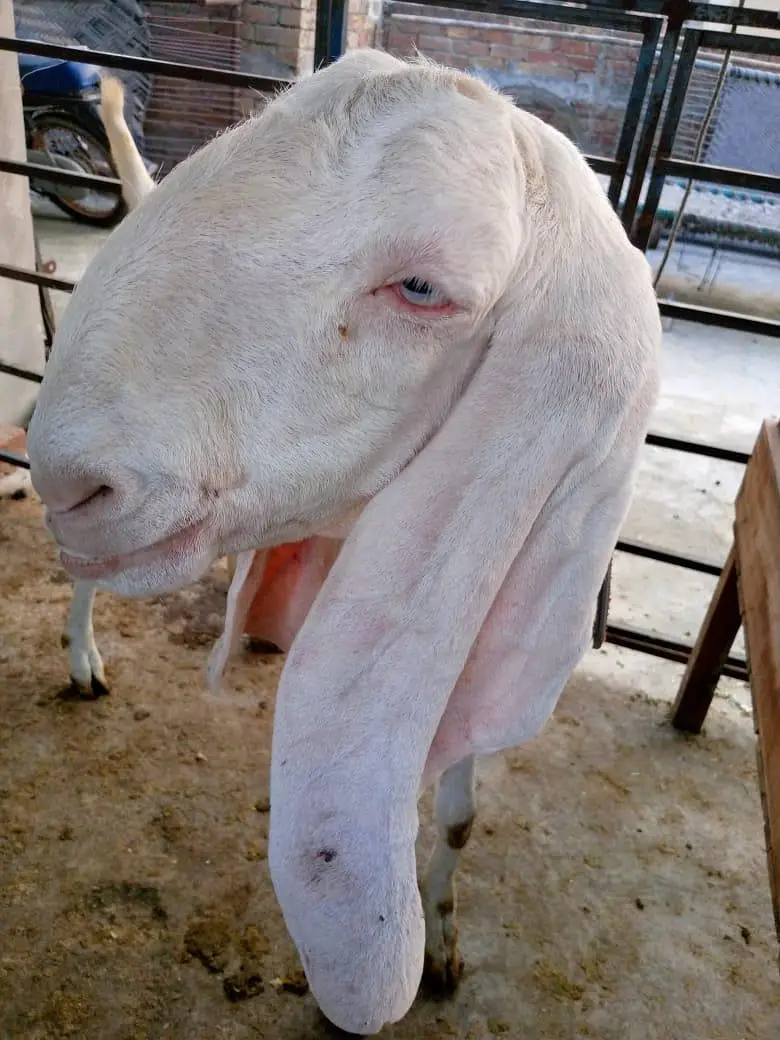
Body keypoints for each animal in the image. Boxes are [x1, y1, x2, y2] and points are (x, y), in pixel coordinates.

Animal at [26, 50, 661, 1035]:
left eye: (423, 288)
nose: (73, 482)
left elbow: (457, 812)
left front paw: (443, 942)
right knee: (87, 577)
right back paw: (83, 657)